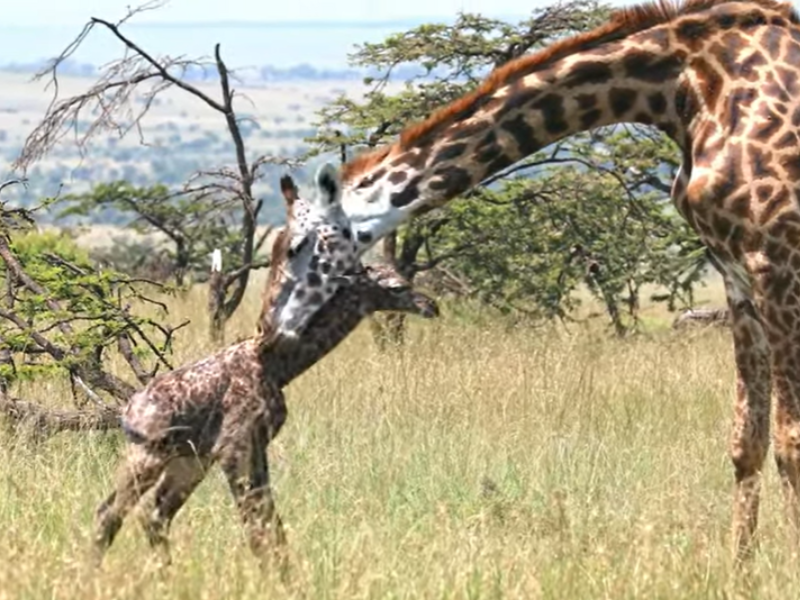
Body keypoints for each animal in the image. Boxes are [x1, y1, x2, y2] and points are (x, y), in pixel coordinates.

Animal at [91, 175, 439, 568]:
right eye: (396, 286)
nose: (432, 305)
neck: (279, 366)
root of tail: (128, 411)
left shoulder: (251, 446)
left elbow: (272, 527)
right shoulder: (236, 447)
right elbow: (257, 527)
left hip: (187, 461)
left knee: (154, 516)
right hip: (149, 455)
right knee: (110, 513)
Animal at [269, 0, 800, 561]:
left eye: (294, 247)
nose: (268, 328)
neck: (681, 88)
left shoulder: (777, 260)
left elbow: (790, 442)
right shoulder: (736, 275)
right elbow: (747, 441)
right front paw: (740, 570)